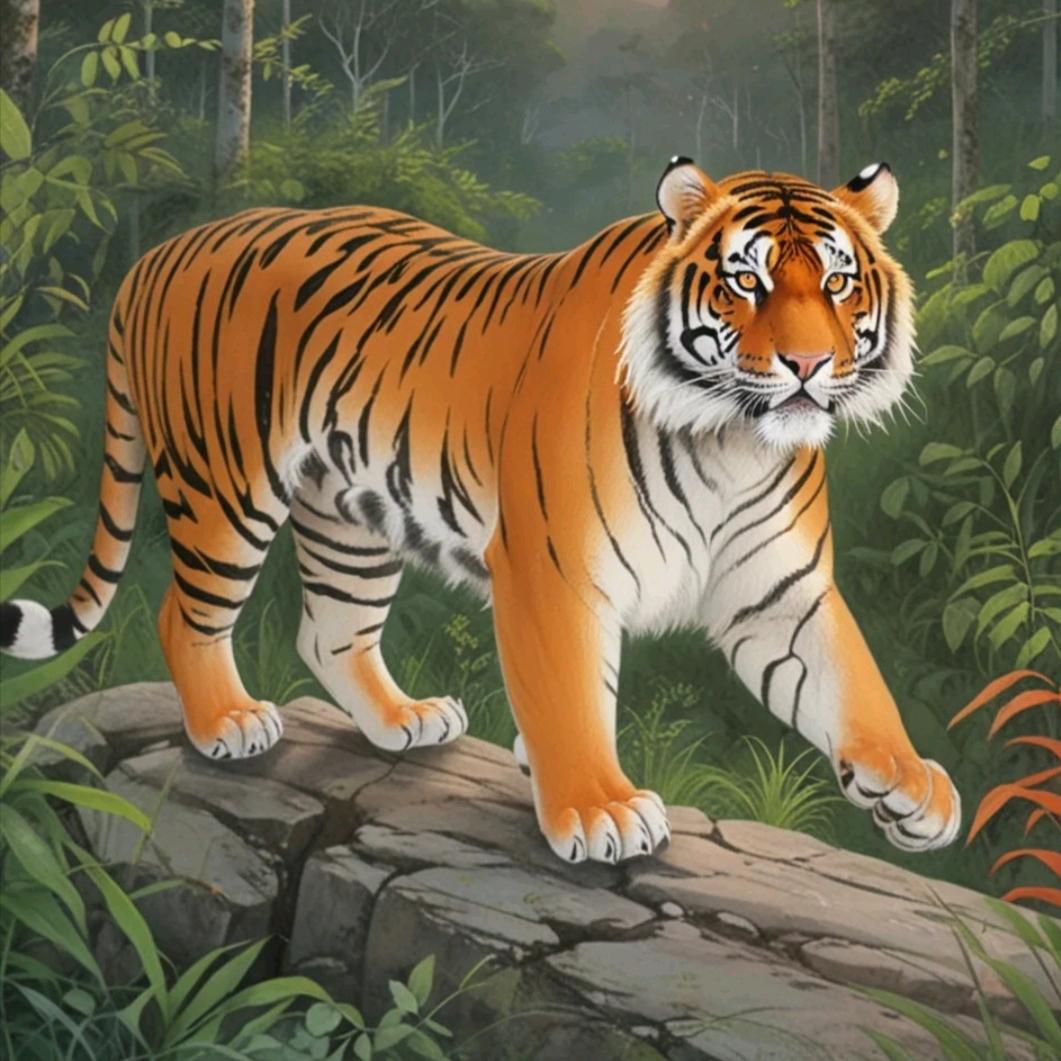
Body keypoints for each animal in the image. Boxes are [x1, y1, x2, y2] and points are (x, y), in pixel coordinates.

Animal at [1, 157, 961, 865]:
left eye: (837, 283)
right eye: (745, 283)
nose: (807, 365)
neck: (729, 441)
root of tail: (157, 255)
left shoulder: (779, 592)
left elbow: (853, 684)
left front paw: (911, 787)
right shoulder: (554, 574)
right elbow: (570, 694)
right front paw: (599, 808)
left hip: (348, 514)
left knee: (329, 630)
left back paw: (403, 721)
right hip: (225, 488)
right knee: (184, 614)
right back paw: (228, 724)